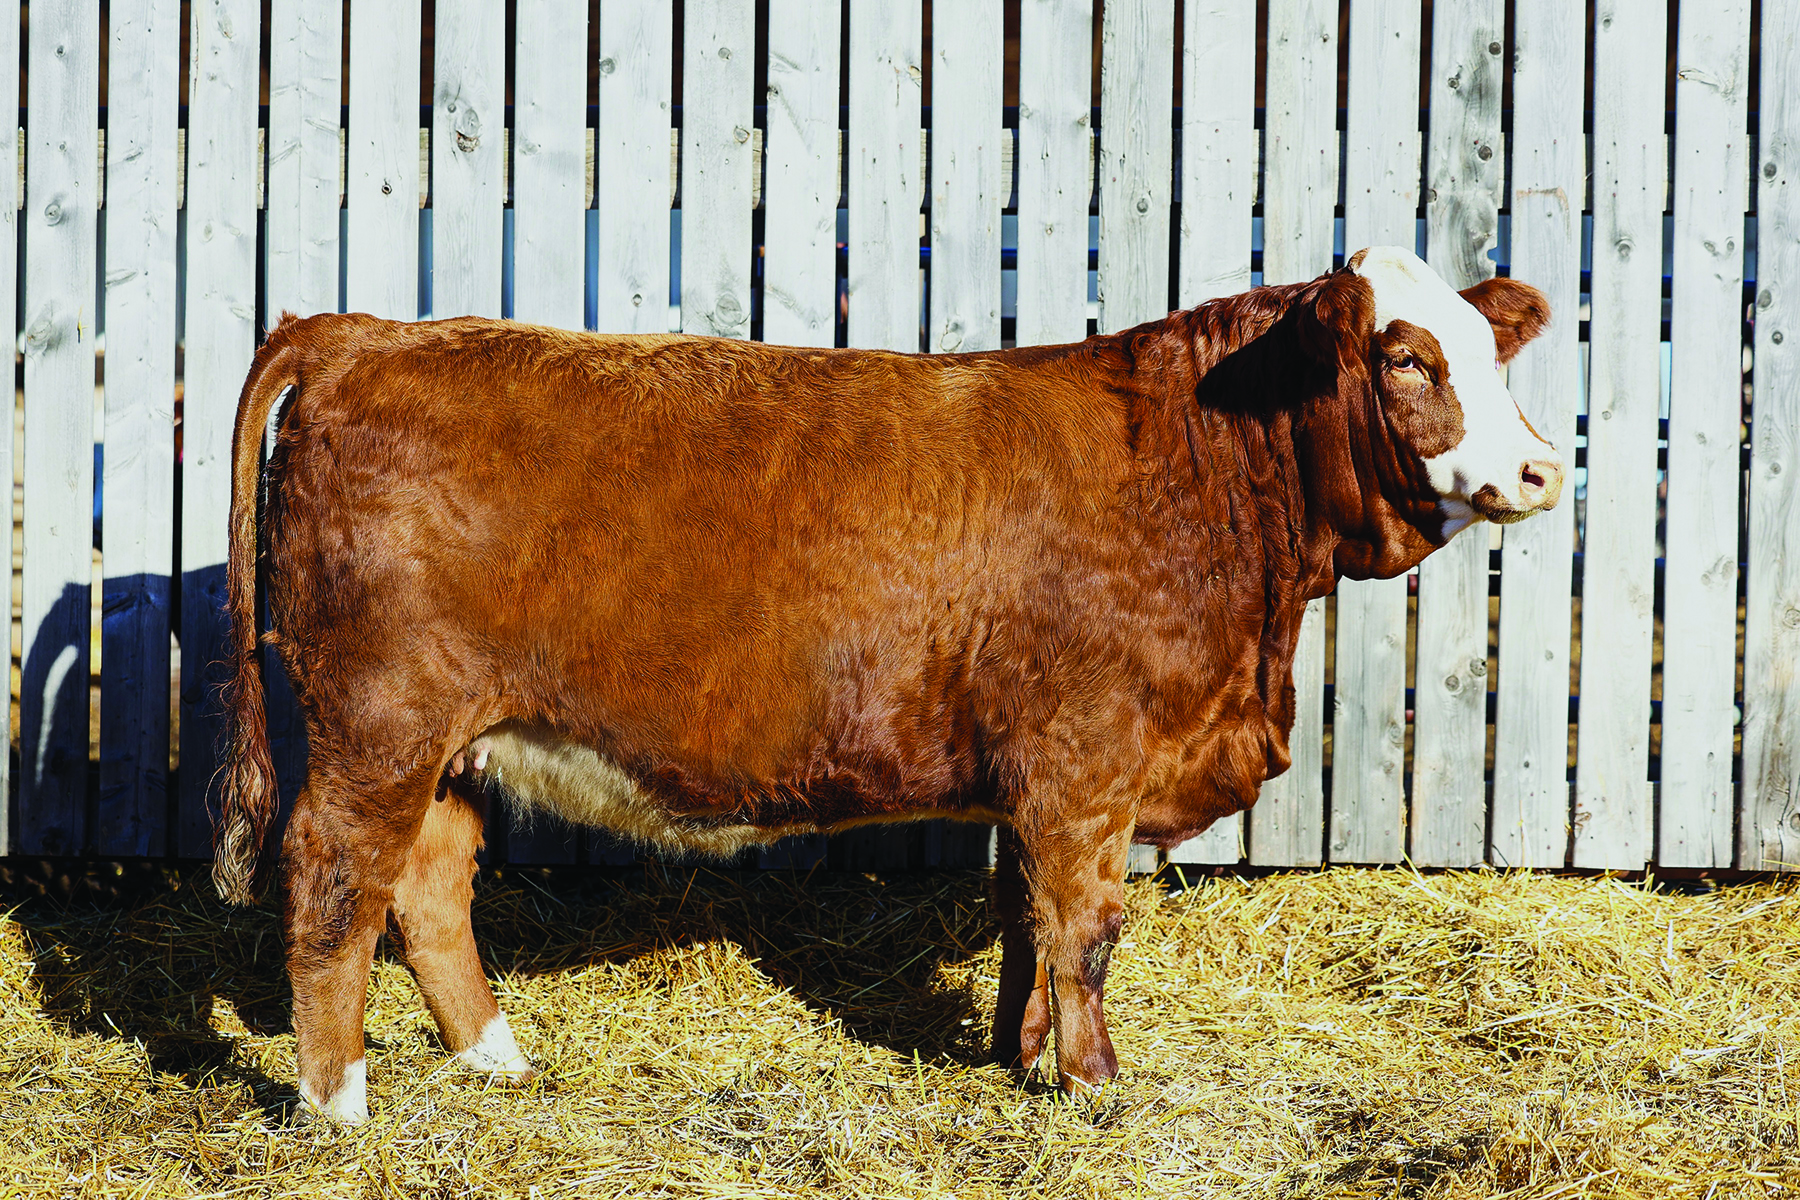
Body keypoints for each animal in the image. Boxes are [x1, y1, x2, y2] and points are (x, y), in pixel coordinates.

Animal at [211, 246, 1561, 1123]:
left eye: (1495, 352)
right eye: (1405, 356)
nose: (1545, 469)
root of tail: (367, 331)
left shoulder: (1036, 778)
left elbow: (1027, 919)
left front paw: (1021, 1058)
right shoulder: (1087, 762)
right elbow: (1086, 931)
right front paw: (1096, 1089)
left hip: (449, 739)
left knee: (428, 885)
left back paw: (495, 1061)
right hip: (379, 723)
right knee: (335, 878)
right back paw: (338, 1105)